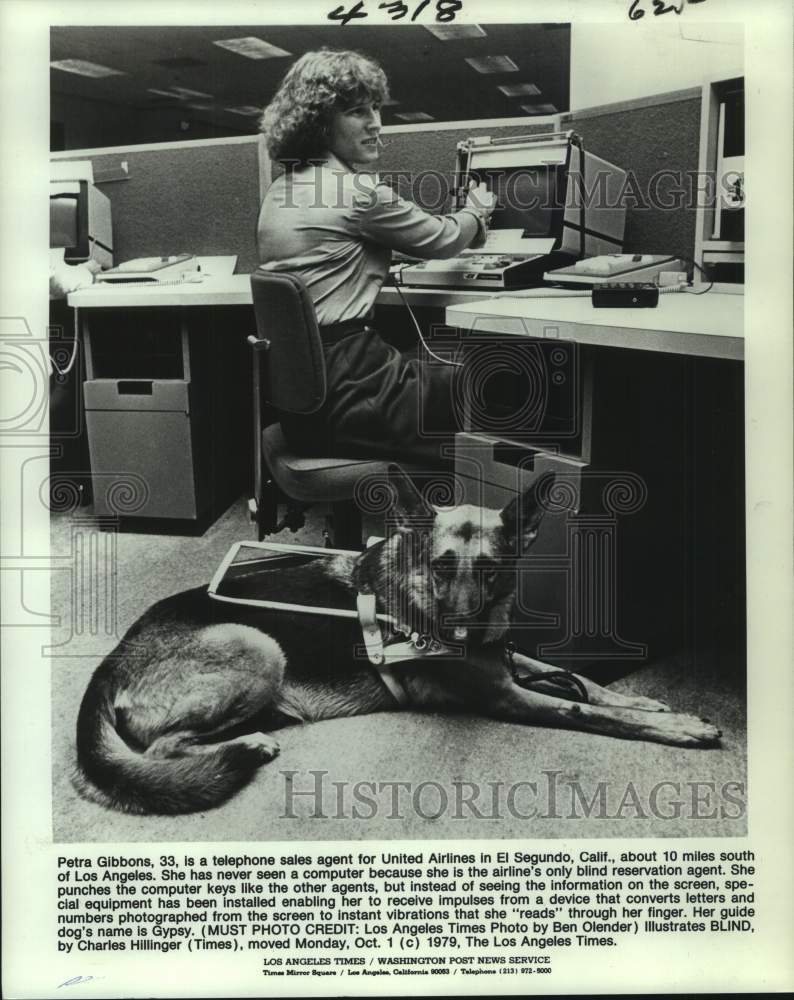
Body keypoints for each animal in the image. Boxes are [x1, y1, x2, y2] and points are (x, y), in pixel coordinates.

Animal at [76, 468, 716, 812]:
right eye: (440, 567)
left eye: (490, 571)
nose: (457, 633)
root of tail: (109, 664)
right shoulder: (506, 694)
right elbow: (587, 710)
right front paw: (679, 727)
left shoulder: (506, 657)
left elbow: (584, 681)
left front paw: (651, 702)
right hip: (258, 648)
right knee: (160, 751)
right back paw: (246, 746)